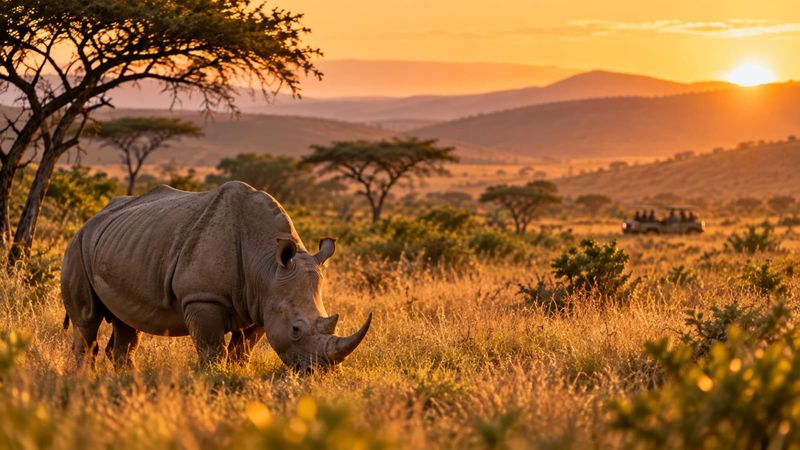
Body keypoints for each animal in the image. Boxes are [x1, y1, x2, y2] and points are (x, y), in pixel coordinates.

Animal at [61, 181, 371, 371]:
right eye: (296, 329)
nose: (319, 372)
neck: (267, 266)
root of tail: (91, 219)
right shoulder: (202, 298)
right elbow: (212, 349)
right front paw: (215, 377)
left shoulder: (262, 302)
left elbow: (242, 350)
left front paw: (236, 374)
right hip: (77, 246)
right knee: (87, 320)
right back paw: (85, 382)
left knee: (126, 322)